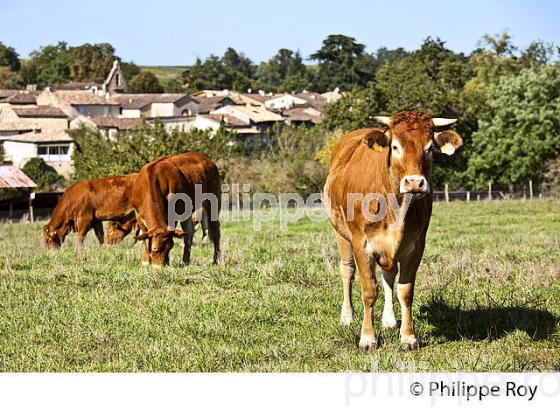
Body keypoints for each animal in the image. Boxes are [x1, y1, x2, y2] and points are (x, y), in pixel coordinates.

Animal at [324, 110, 464, 350]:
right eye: (395, 146)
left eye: (429, 148)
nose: (415, 183)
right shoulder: (361, 244)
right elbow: (369, 290)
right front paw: (368, 338)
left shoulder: (416, 246)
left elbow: (405, 291)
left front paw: (408, 337)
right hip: (341, 234)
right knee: (347, 270)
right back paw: (347, 316)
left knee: (388, 276)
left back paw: (389, 320)